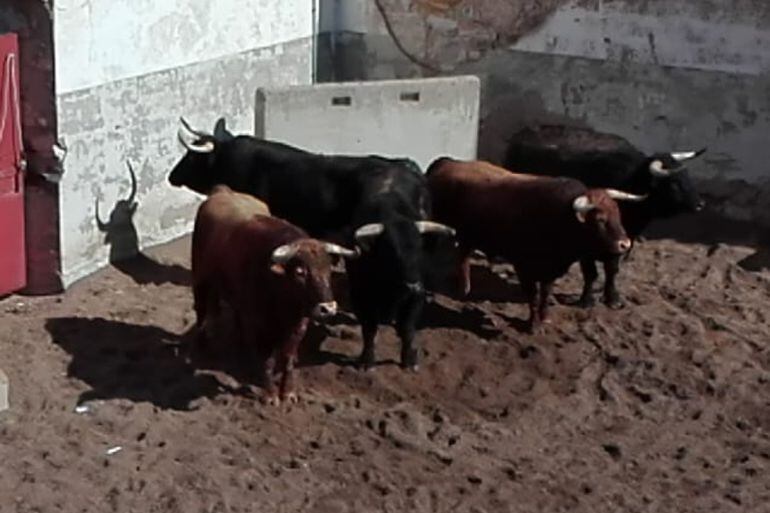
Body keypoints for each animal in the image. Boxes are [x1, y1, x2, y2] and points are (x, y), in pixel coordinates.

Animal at [190, 186, 356, 402]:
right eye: (300, 272)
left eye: (328, 269)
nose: (327, 309)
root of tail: (222, 191)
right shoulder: (260, 328)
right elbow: (267, 362)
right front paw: (270, 394)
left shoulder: (298, 327)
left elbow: (288, 360)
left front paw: (288, 392)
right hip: (200, 280)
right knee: (201, 312)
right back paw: (202, 345)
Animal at [424, 156, 640, 332]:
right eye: (600, 220)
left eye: (618, 214)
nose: (625, 244)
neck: (559, 217)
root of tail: (444, 163)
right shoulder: (524, 268)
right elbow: (533, 296)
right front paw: (533, 325)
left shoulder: (550, 270)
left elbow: (545, 294)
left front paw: (544, 318)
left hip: (467, 235)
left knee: (463, 255)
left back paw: (464, 287)